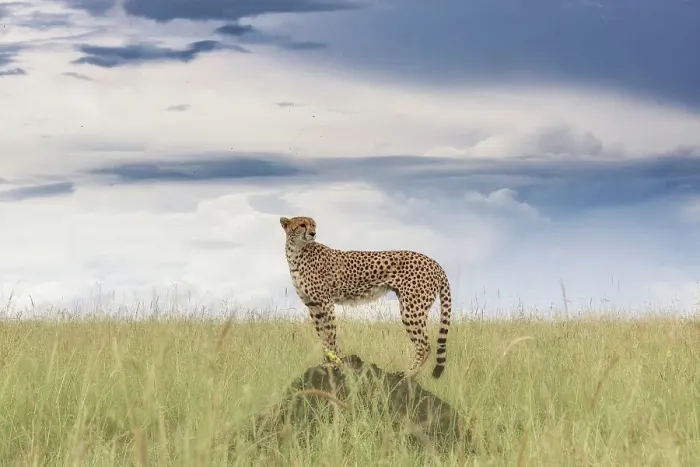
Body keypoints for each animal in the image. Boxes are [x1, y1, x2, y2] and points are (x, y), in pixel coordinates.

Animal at [280, 215, 453, 379]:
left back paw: (408, 375)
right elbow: (322, 336)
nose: (312, 233)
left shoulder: (325, 302)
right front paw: (325, 361)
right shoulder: (313, 305)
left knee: (425, 345)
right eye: (302, 224)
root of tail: (434, 263)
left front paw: (333, 363)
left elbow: (329, 334)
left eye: (313, 225)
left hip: (412, 308)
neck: (297, 251)